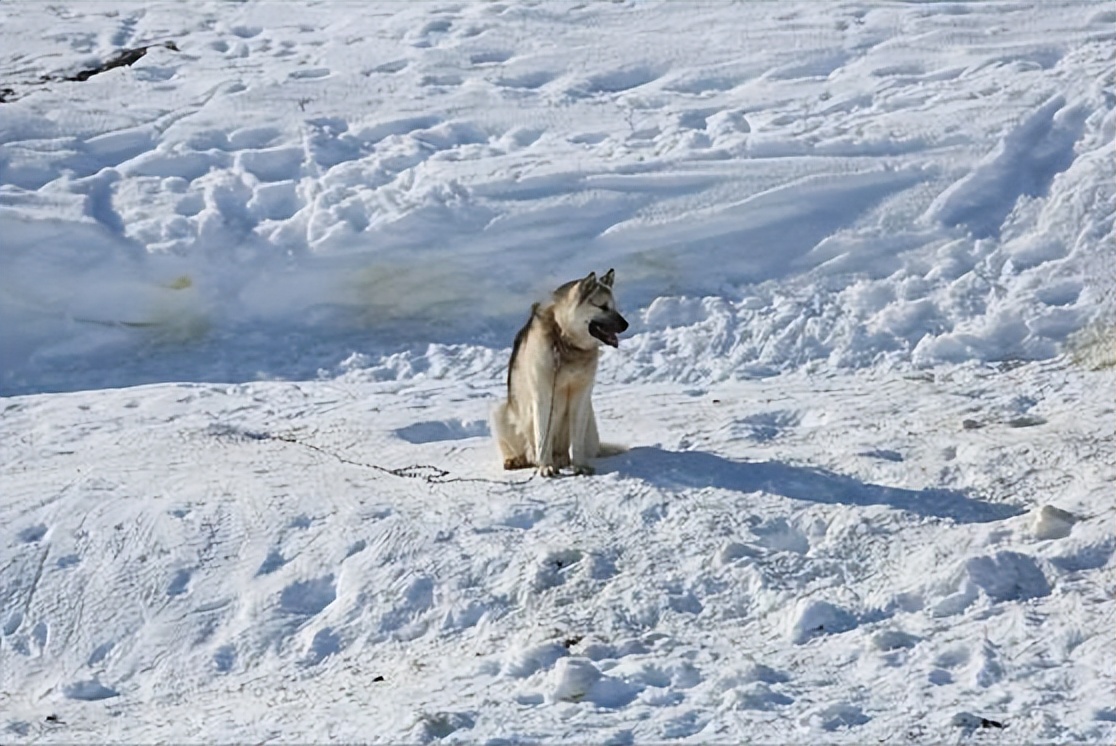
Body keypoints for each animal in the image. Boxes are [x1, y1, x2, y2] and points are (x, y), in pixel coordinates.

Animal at [491, 269, 629, 477]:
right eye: (602, 307)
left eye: (614, 307)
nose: (626, 325)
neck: (564, 339)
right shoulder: (544, 397)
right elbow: (543, 439)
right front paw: (545, 466)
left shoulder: (581, 397)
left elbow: (577, 443)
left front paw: (580, 465)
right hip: (501, 413)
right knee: (524, 450)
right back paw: (518, 460)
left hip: (589, 420)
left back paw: (562, 460)